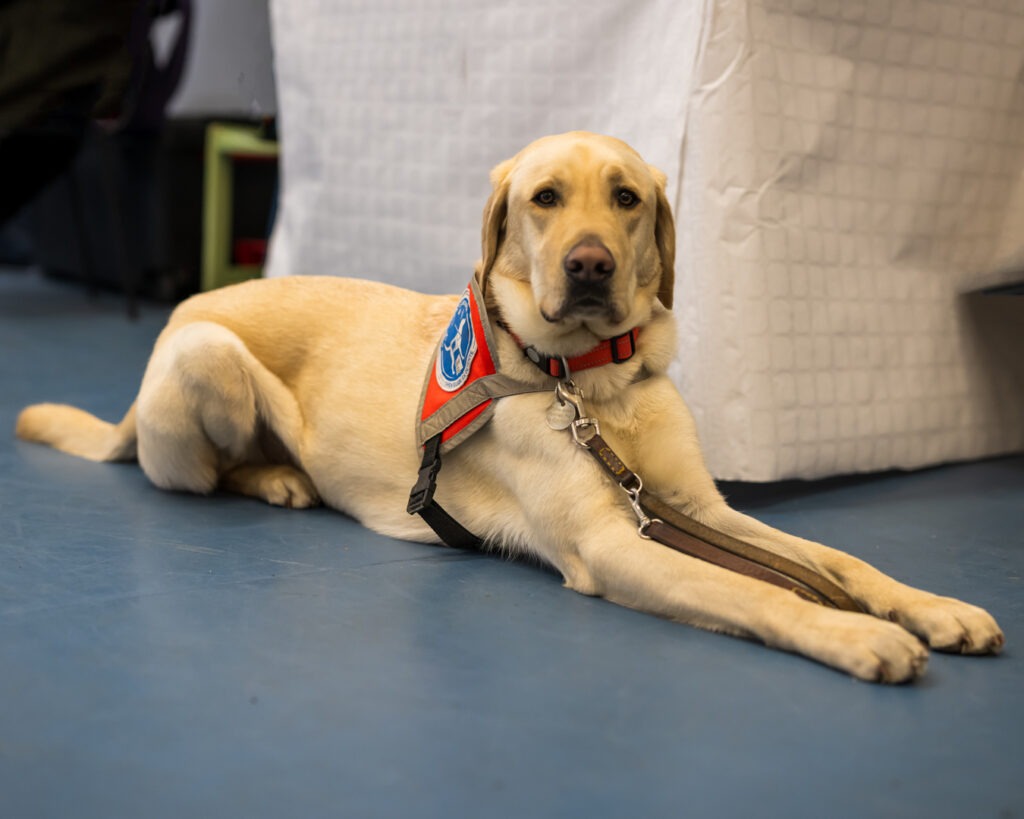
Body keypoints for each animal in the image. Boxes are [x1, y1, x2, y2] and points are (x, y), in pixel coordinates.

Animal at [16, 131, 1004, 682]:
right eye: (544, 198)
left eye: (627, 198)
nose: (591, 264)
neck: (590, 382)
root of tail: (183, 308)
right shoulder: (613, 543)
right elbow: (760, 591)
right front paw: (853, 635)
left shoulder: (695, 507)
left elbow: (836, 559)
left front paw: (931, 606)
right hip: (207, 355)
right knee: (200, 474)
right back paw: (277, 479)